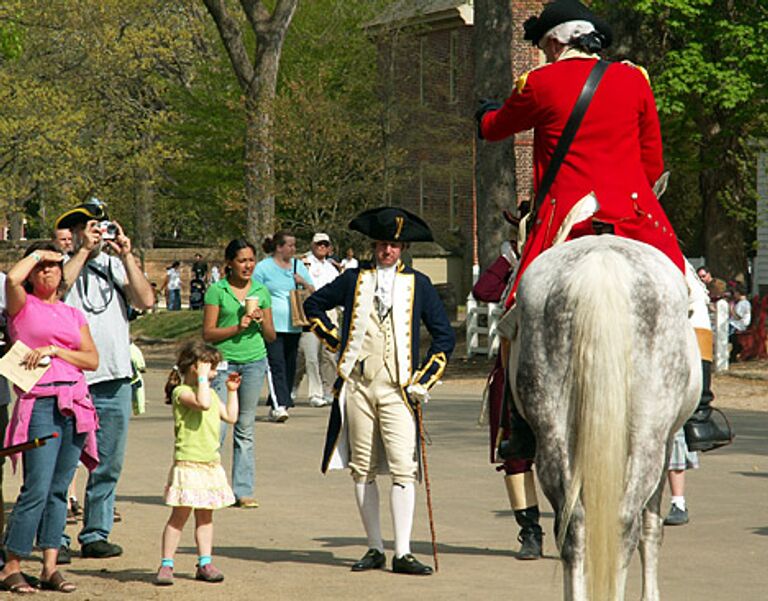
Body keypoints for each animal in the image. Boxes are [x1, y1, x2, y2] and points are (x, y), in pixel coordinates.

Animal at [510, 234, 704, 600]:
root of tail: (600, 266)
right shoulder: (666, 442)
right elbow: (651, 528)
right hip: (647, 441)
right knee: (624, 523)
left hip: (553, 436)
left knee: (573, 526)